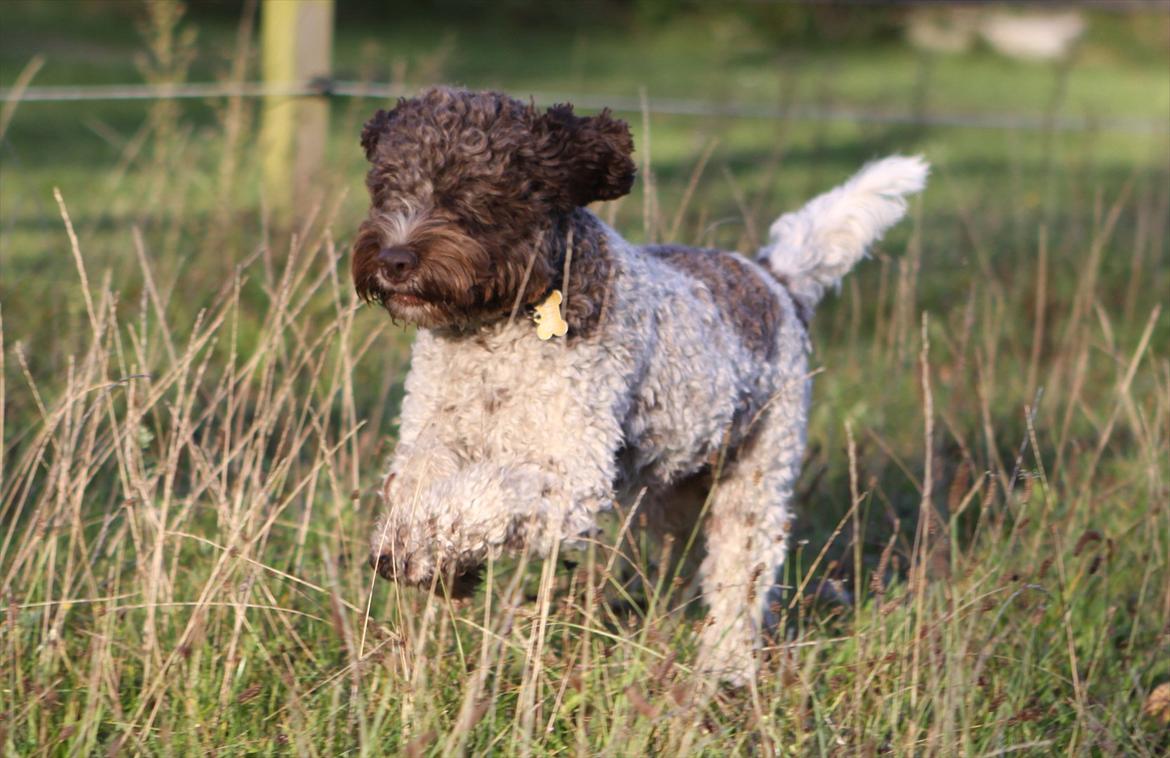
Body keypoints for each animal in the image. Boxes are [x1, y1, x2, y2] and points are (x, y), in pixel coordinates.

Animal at [351, 85, 926, 683]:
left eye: (471, 191)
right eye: (386, 185)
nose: (394, 260)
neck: (494, 329)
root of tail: (774, 279)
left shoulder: (574, 472)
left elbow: (484, 494)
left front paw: (422, 549)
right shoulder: (432, 437)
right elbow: (421, 489)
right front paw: (421, 553)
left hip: (759, 470)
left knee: (740, 574)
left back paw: (727, 667)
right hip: (677, 491)